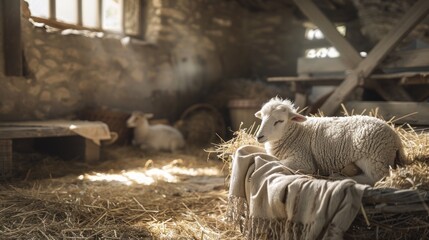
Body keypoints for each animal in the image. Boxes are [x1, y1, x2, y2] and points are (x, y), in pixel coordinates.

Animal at [254, 96, 404, 185]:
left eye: (279, 121)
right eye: (262, 117)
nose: (259, 136)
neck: (295, 133)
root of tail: (396, 138)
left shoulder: (303, 160)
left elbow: (276, 162)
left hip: (372, 157)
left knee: (375, 178)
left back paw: (339, 177)